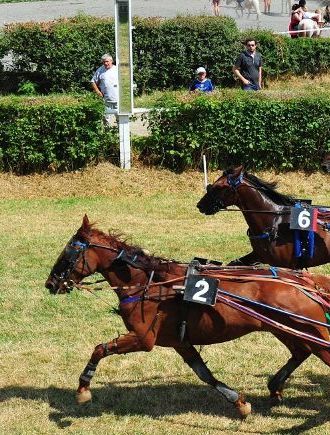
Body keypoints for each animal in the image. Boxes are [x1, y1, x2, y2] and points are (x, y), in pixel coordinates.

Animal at [45, 216, 330, 420]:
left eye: (69, 251)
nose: (51, 283)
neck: (152, 284)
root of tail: (307, 282)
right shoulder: (179, 341)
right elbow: (204, 374)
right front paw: (239, 402)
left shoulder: (143, 338)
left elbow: (100, 349)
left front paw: (83, 389)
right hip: (283, 328)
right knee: (300, 352)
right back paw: (275, 387)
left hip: (308, 331)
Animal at [197, 166, 330, 270]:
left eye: (219, 187)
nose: (200, 205)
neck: (274, 223)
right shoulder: (258, 255)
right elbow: (234, 264)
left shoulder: (286, 265)